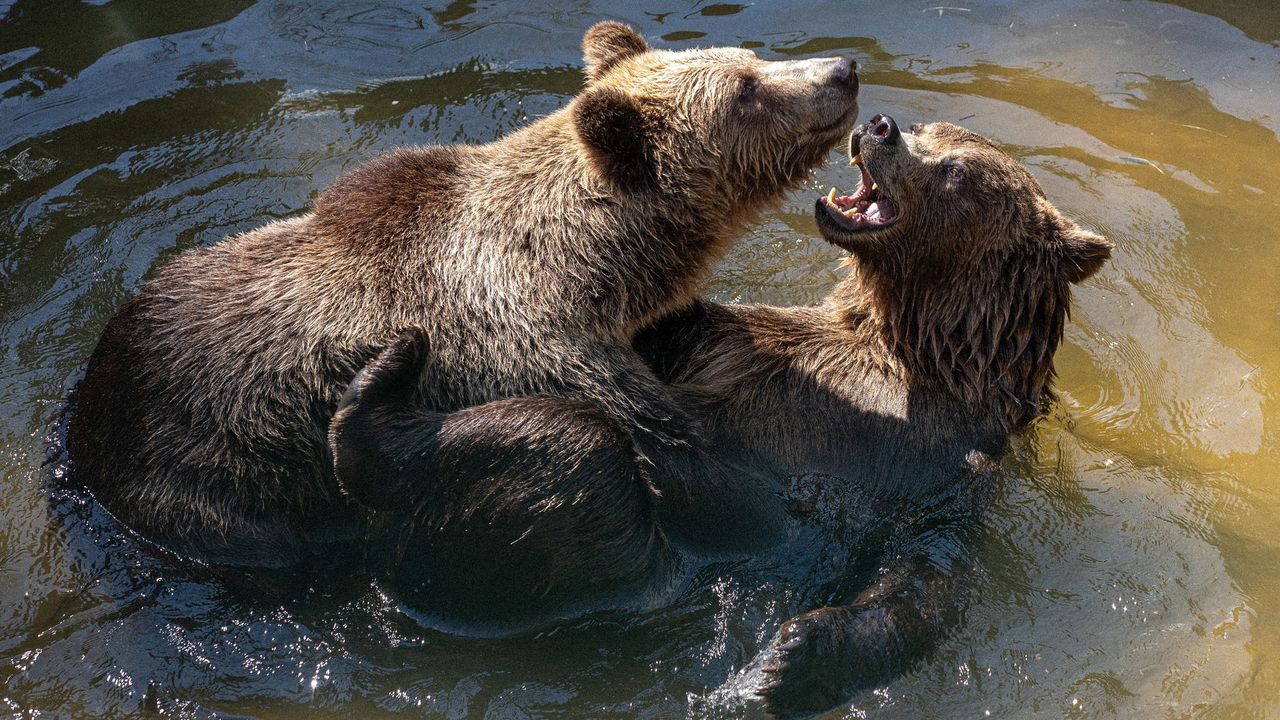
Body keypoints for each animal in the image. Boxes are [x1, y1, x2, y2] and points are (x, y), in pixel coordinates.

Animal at [62, 20, 860, 566]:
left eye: (751, 59)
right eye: (746, 90)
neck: (602, 272)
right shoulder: (544, 354)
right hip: (211, 485)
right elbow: (707, 481)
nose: (844, 68)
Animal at [337, 116, 1111, 707]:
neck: (915, 346)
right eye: (930, 129)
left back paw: (377, 403)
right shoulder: (743, 343)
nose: (881, 125)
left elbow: (921, 580)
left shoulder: (943, 468)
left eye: (957, 171)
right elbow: (679, 328)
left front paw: (783, 662)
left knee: (580, 455)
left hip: (622, 561)